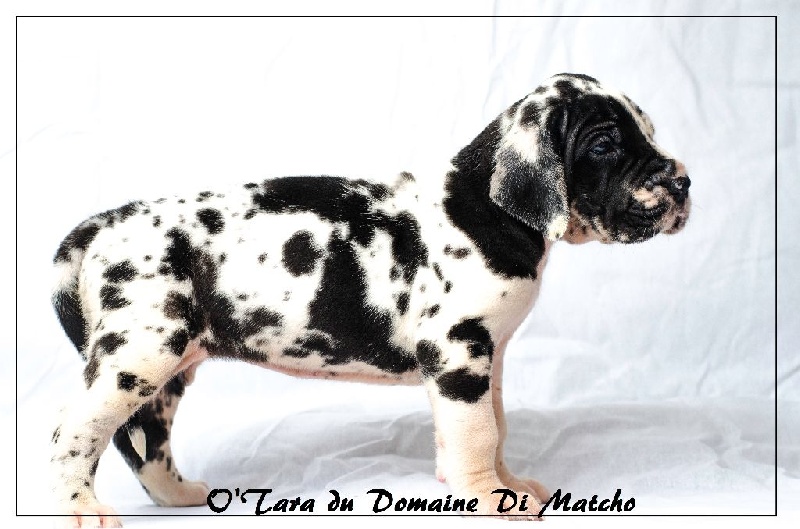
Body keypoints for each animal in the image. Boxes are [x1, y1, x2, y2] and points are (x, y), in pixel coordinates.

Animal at [50, 73, 691, 526]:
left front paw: (498, 485)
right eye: (606, 145)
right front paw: (490, 497)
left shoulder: (485, 360)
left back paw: (178, 494)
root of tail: (106, 223)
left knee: (145, 444)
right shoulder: (460, 352)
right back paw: (80, 512)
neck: (485, 208)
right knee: (71, 435)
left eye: (650, 132)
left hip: (167, 367)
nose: (683, 182)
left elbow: (491, 424)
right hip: (138, 353)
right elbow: (479, 431)